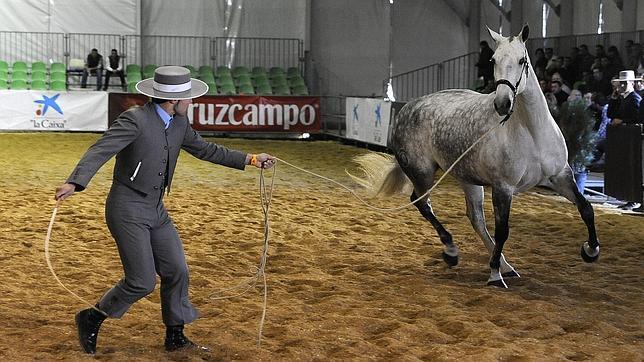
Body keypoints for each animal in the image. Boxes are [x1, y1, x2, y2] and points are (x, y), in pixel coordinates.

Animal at [352, 24, 600, 288]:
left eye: (522, 60)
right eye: (493, 60)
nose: (502, 104)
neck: (531, 132)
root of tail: (406, 109)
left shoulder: (560, 176)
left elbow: (586, 209)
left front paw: (590, 251)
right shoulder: (503, 187)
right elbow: (503, 230)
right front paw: (494, 276)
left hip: (468, 179)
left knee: (475, 219)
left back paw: (505, 265)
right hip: (422, 172)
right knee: (421, 203)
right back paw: (452, 251)